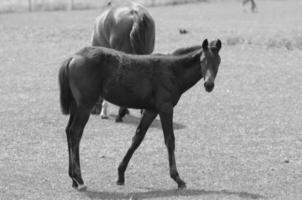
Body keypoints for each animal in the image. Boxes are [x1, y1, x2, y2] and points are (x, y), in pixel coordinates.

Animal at [58, 38, 222, 191]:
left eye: (218, 62)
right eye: (203, 61)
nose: (209, 85)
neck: (173, 71)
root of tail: (73, 57)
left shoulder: (151, 110)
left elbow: (137, 138)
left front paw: (120, 174)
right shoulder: (165, 108)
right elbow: (170, 140)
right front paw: (178, 179)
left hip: (76, 106)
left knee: (68, 131)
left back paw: (73, 180)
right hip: (85, 106)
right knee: (75, 133)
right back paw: (79, 179)